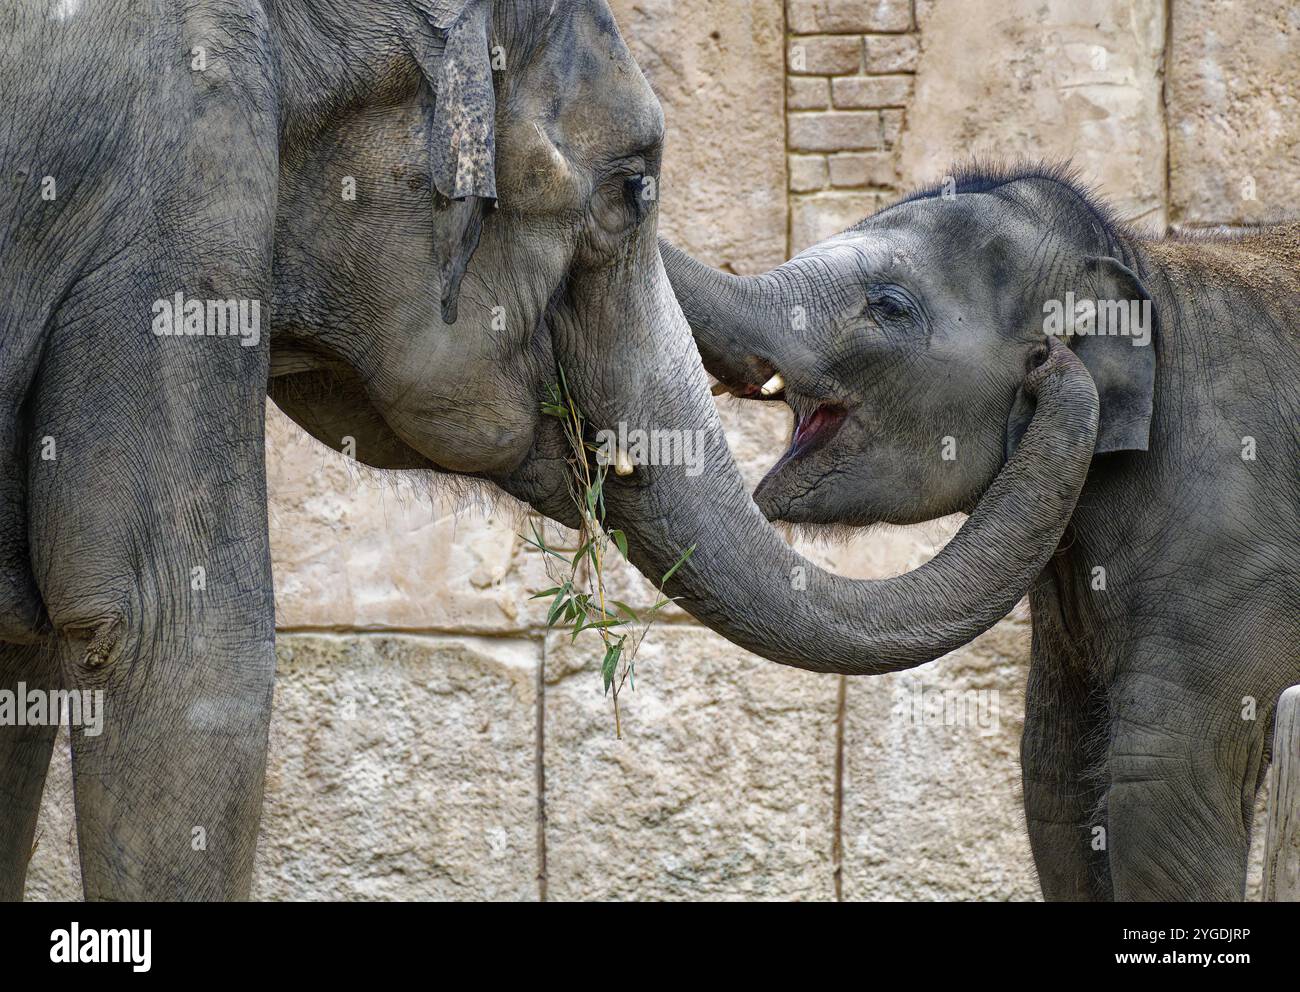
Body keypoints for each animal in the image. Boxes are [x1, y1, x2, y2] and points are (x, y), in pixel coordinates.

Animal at [660, 166, 1300, 904]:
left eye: (890, 306)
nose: (1051, 363)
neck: (1144, 267)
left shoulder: (1235, 546)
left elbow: (1160, 786)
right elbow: (1055, 782)